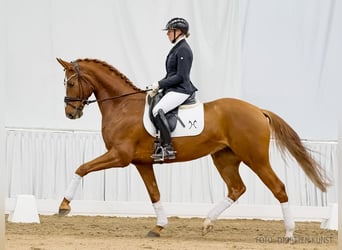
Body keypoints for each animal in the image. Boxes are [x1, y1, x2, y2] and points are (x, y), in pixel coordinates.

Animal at [56, 57, 328, 239]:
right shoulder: (142, 162)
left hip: (256, 158)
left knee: (278, 188)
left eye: (70, 84)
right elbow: (154, 194)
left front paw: (64, 206)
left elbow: (81, 168)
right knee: (237, 188)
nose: (70, 113)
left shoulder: (119, 156)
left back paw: (289, 234)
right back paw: (207, 223)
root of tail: (258, 111)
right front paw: (159, 226)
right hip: (224, 158)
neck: (122, 106)